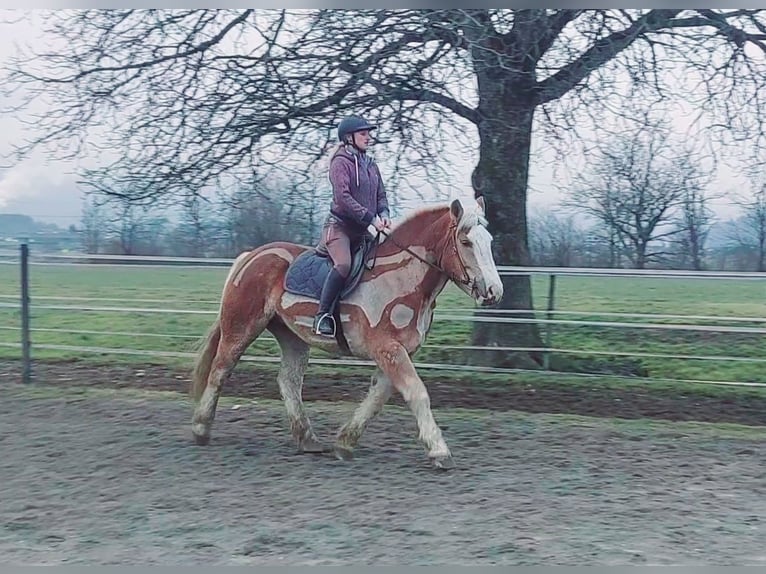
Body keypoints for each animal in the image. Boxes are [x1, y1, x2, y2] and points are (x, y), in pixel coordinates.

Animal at [190, 196, 504, 470]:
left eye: (489, 241)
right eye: (465, 241)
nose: (494, 291)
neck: (401, 279)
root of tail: (251, 256)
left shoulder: (397, 352)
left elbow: (377, 398)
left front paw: (345, 443)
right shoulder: (388, 348)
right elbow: (417, 393)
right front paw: (439, 451)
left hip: (292, 337)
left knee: (289, 381)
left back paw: (307, 439)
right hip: (241, 327)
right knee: (220, 370)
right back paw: (201, 428)